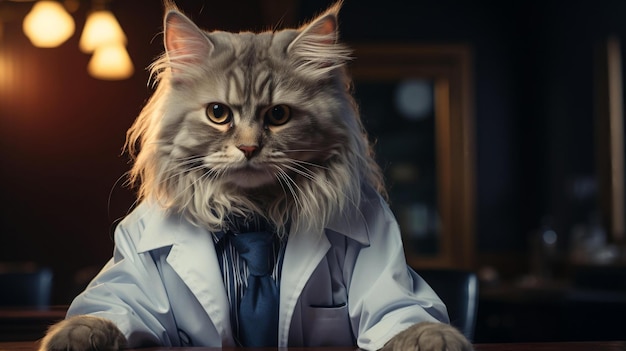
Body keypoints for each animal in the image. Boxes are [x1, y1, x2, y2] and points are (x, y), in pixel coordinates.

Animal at [40, 2, 468, 351]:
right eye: (218, 113)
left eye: (278, 115)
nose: (248, 148)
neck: (254, 214)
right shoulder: (127, 286)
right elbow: (103, 312)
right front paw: (71, 336)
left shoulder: (386, 275)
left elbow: (406, 317)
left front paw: (436, 340)